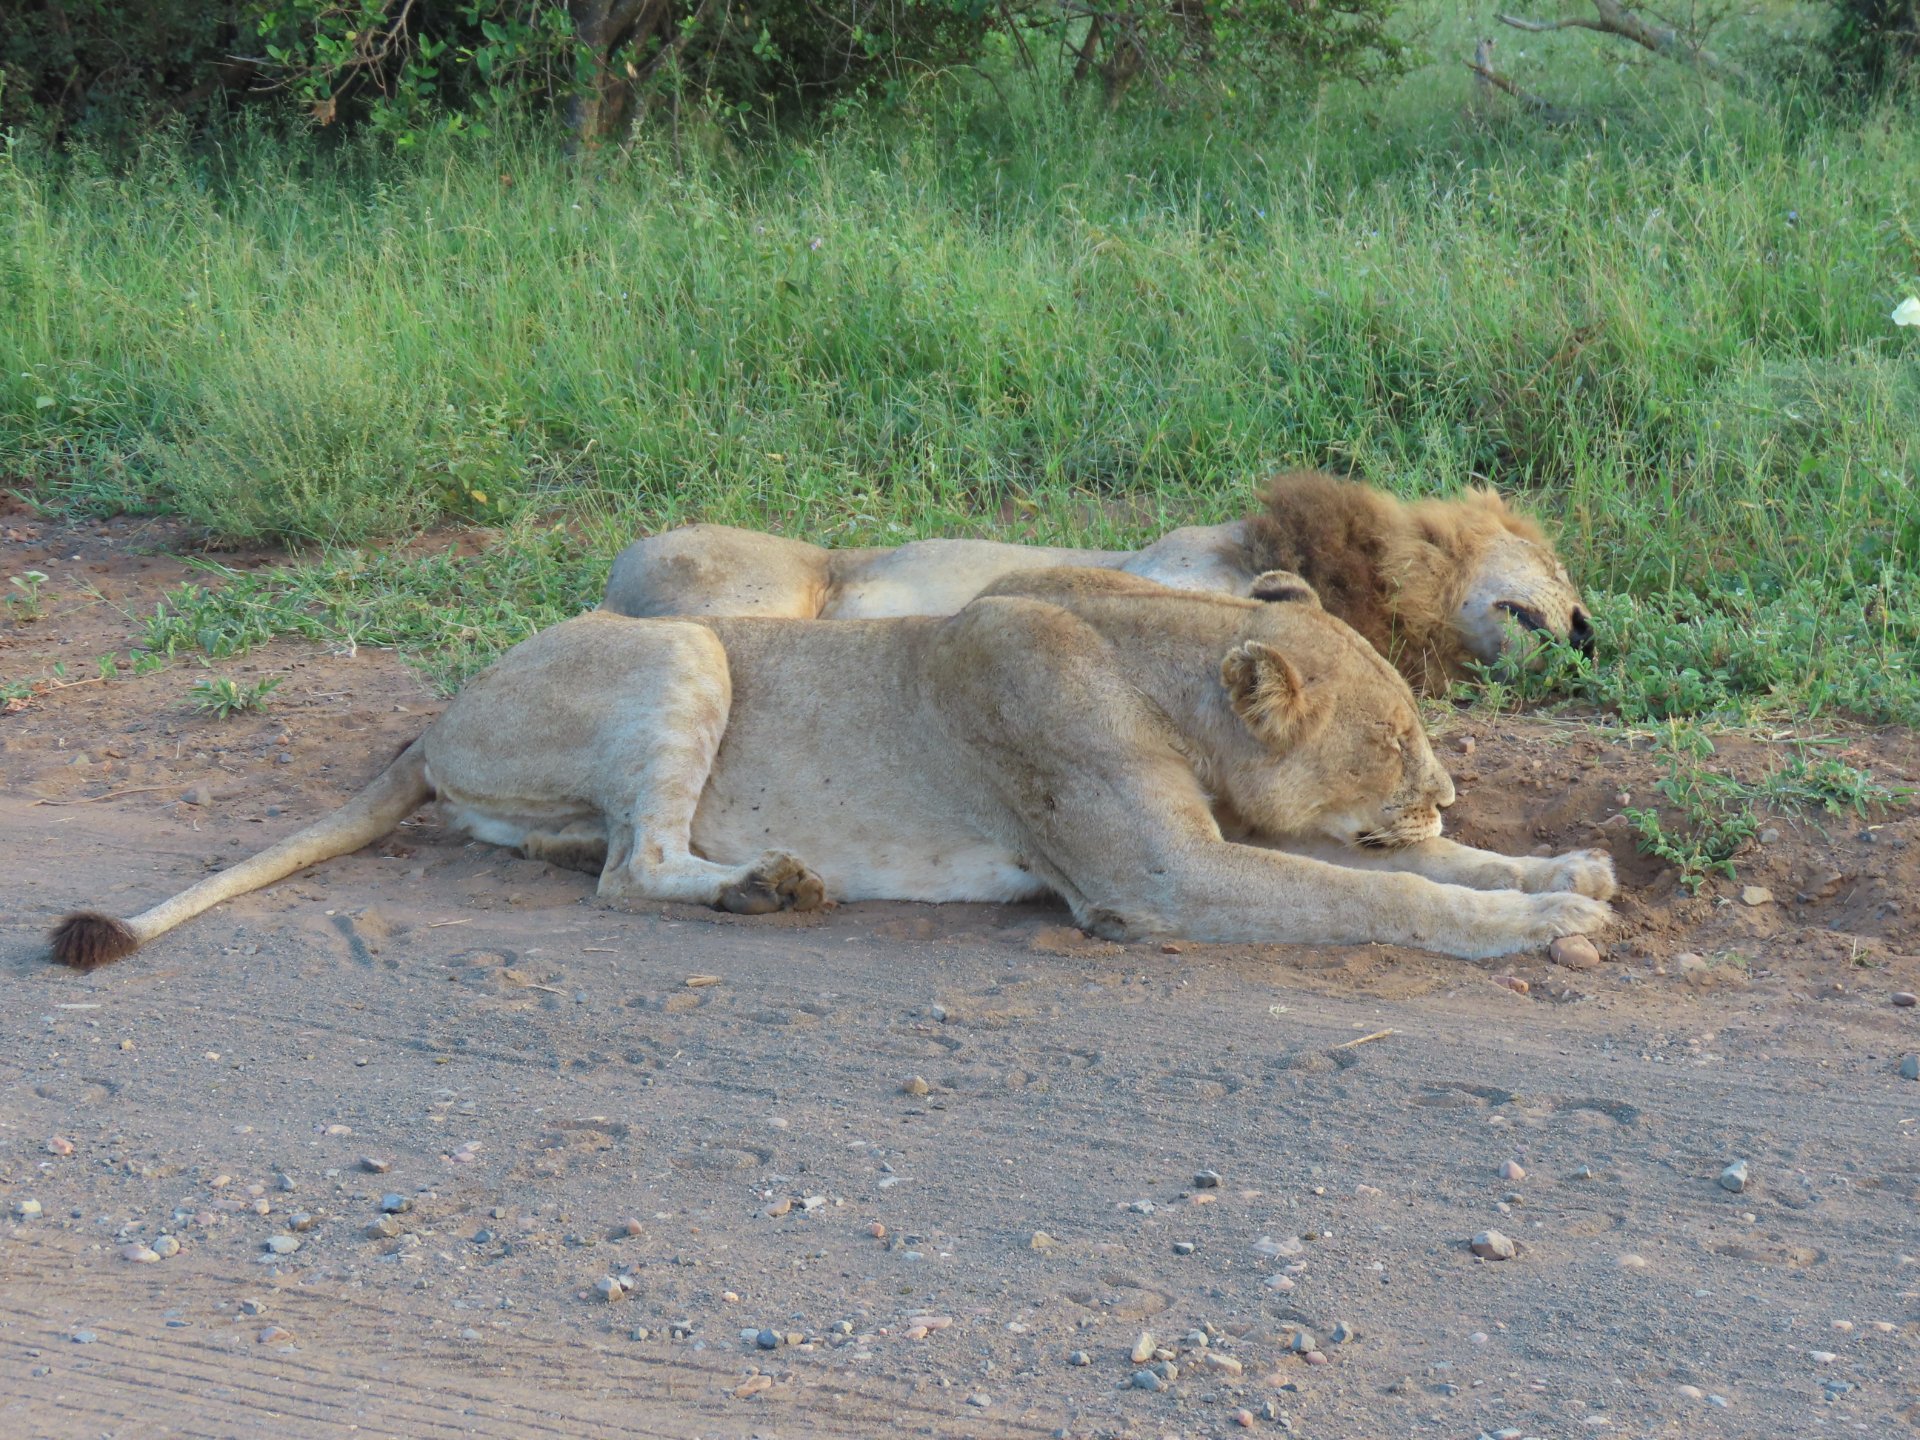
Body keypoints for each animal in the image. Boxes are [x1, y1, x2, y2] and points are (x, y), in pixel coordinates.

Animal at [49, 569, 1612, 970]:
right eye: (1398, 744)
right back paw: (773, 890)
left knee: (599, 851)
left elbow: (1426, 869)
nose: (1448, 785)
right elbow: (1392, 894)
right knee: (629, 872)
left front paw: (1569, 867)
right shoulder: (1160, 882)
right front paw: (1536, 920)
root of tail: (428, 722)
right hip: (688, 650)